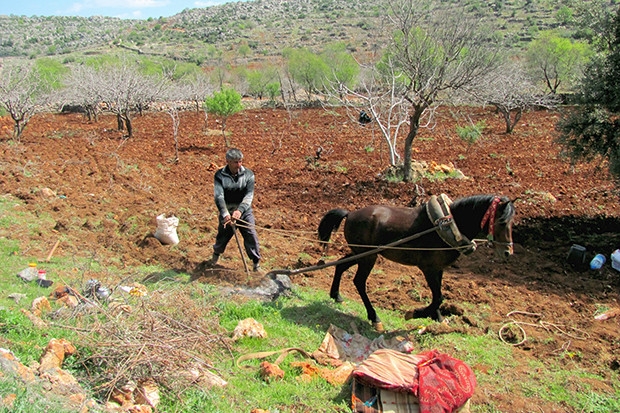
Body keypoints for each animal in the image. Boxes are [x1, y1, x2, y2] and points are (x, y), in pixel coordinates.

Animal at [318, 194, 516, 332]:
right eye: (501, 222)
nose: (508, 252)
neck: (445, 226)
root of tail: (350, 213)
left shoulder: (438, 268)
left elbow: (438, 295)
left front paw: (438, 318)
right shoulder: (428, 268)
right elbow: (438, 297)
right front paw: (415, 314)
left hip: (360, 254)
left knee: (340, 264)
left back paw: (336, 295)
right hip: (367, 257)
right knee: (359, 281)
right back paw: (375, 318)